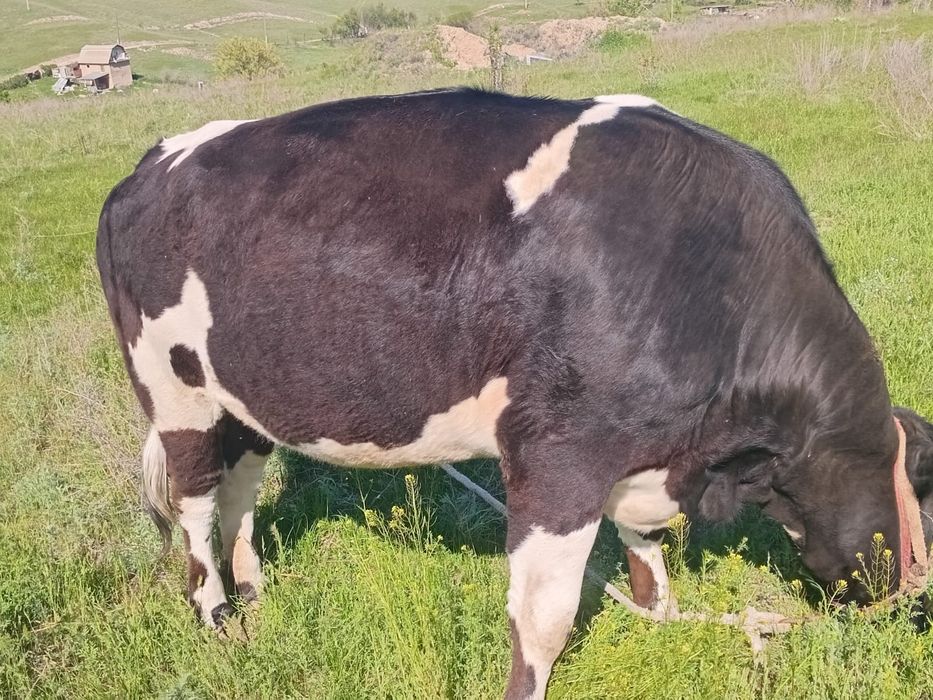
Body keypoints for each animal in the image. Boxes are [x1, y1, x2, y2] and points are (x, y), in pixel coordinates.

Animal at [96, 88, 933, 699]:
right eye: (927, 498)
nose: (914, 614)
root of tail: (150, 163)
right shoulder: (557, 455)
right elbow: (543, 617)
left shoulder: (640, 449)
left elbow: (644, 546)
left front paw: (658, 619)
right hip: (174, 391)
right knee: (196, 504)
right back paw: (216, 618)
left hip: (244, 396)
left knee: (240, 490)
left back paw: (258, 596)